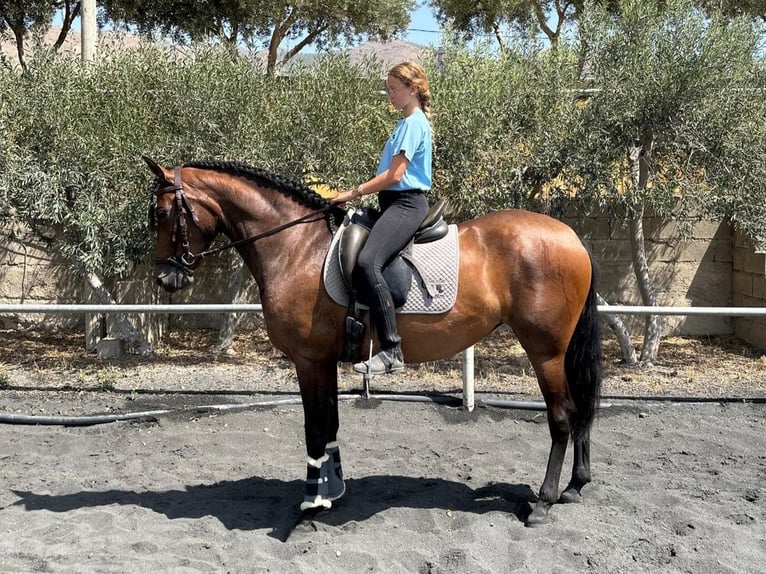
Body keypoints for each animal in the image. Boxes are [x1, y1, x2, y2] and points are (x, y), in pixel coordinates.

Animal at [141, 158, 604, 532]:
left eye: (161, 213)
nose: (166, 278)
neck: (298, 249)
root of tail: (572, 237)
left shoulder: (309, 361)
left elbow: (314, 429)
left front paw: (312, 504)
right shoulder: (323, 362)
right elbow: (329, 426)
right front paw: (334, 491)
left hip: (545, 352)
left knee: (562, 416)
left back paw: (543, 501)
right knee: (581, 409)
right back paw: (575, 486)